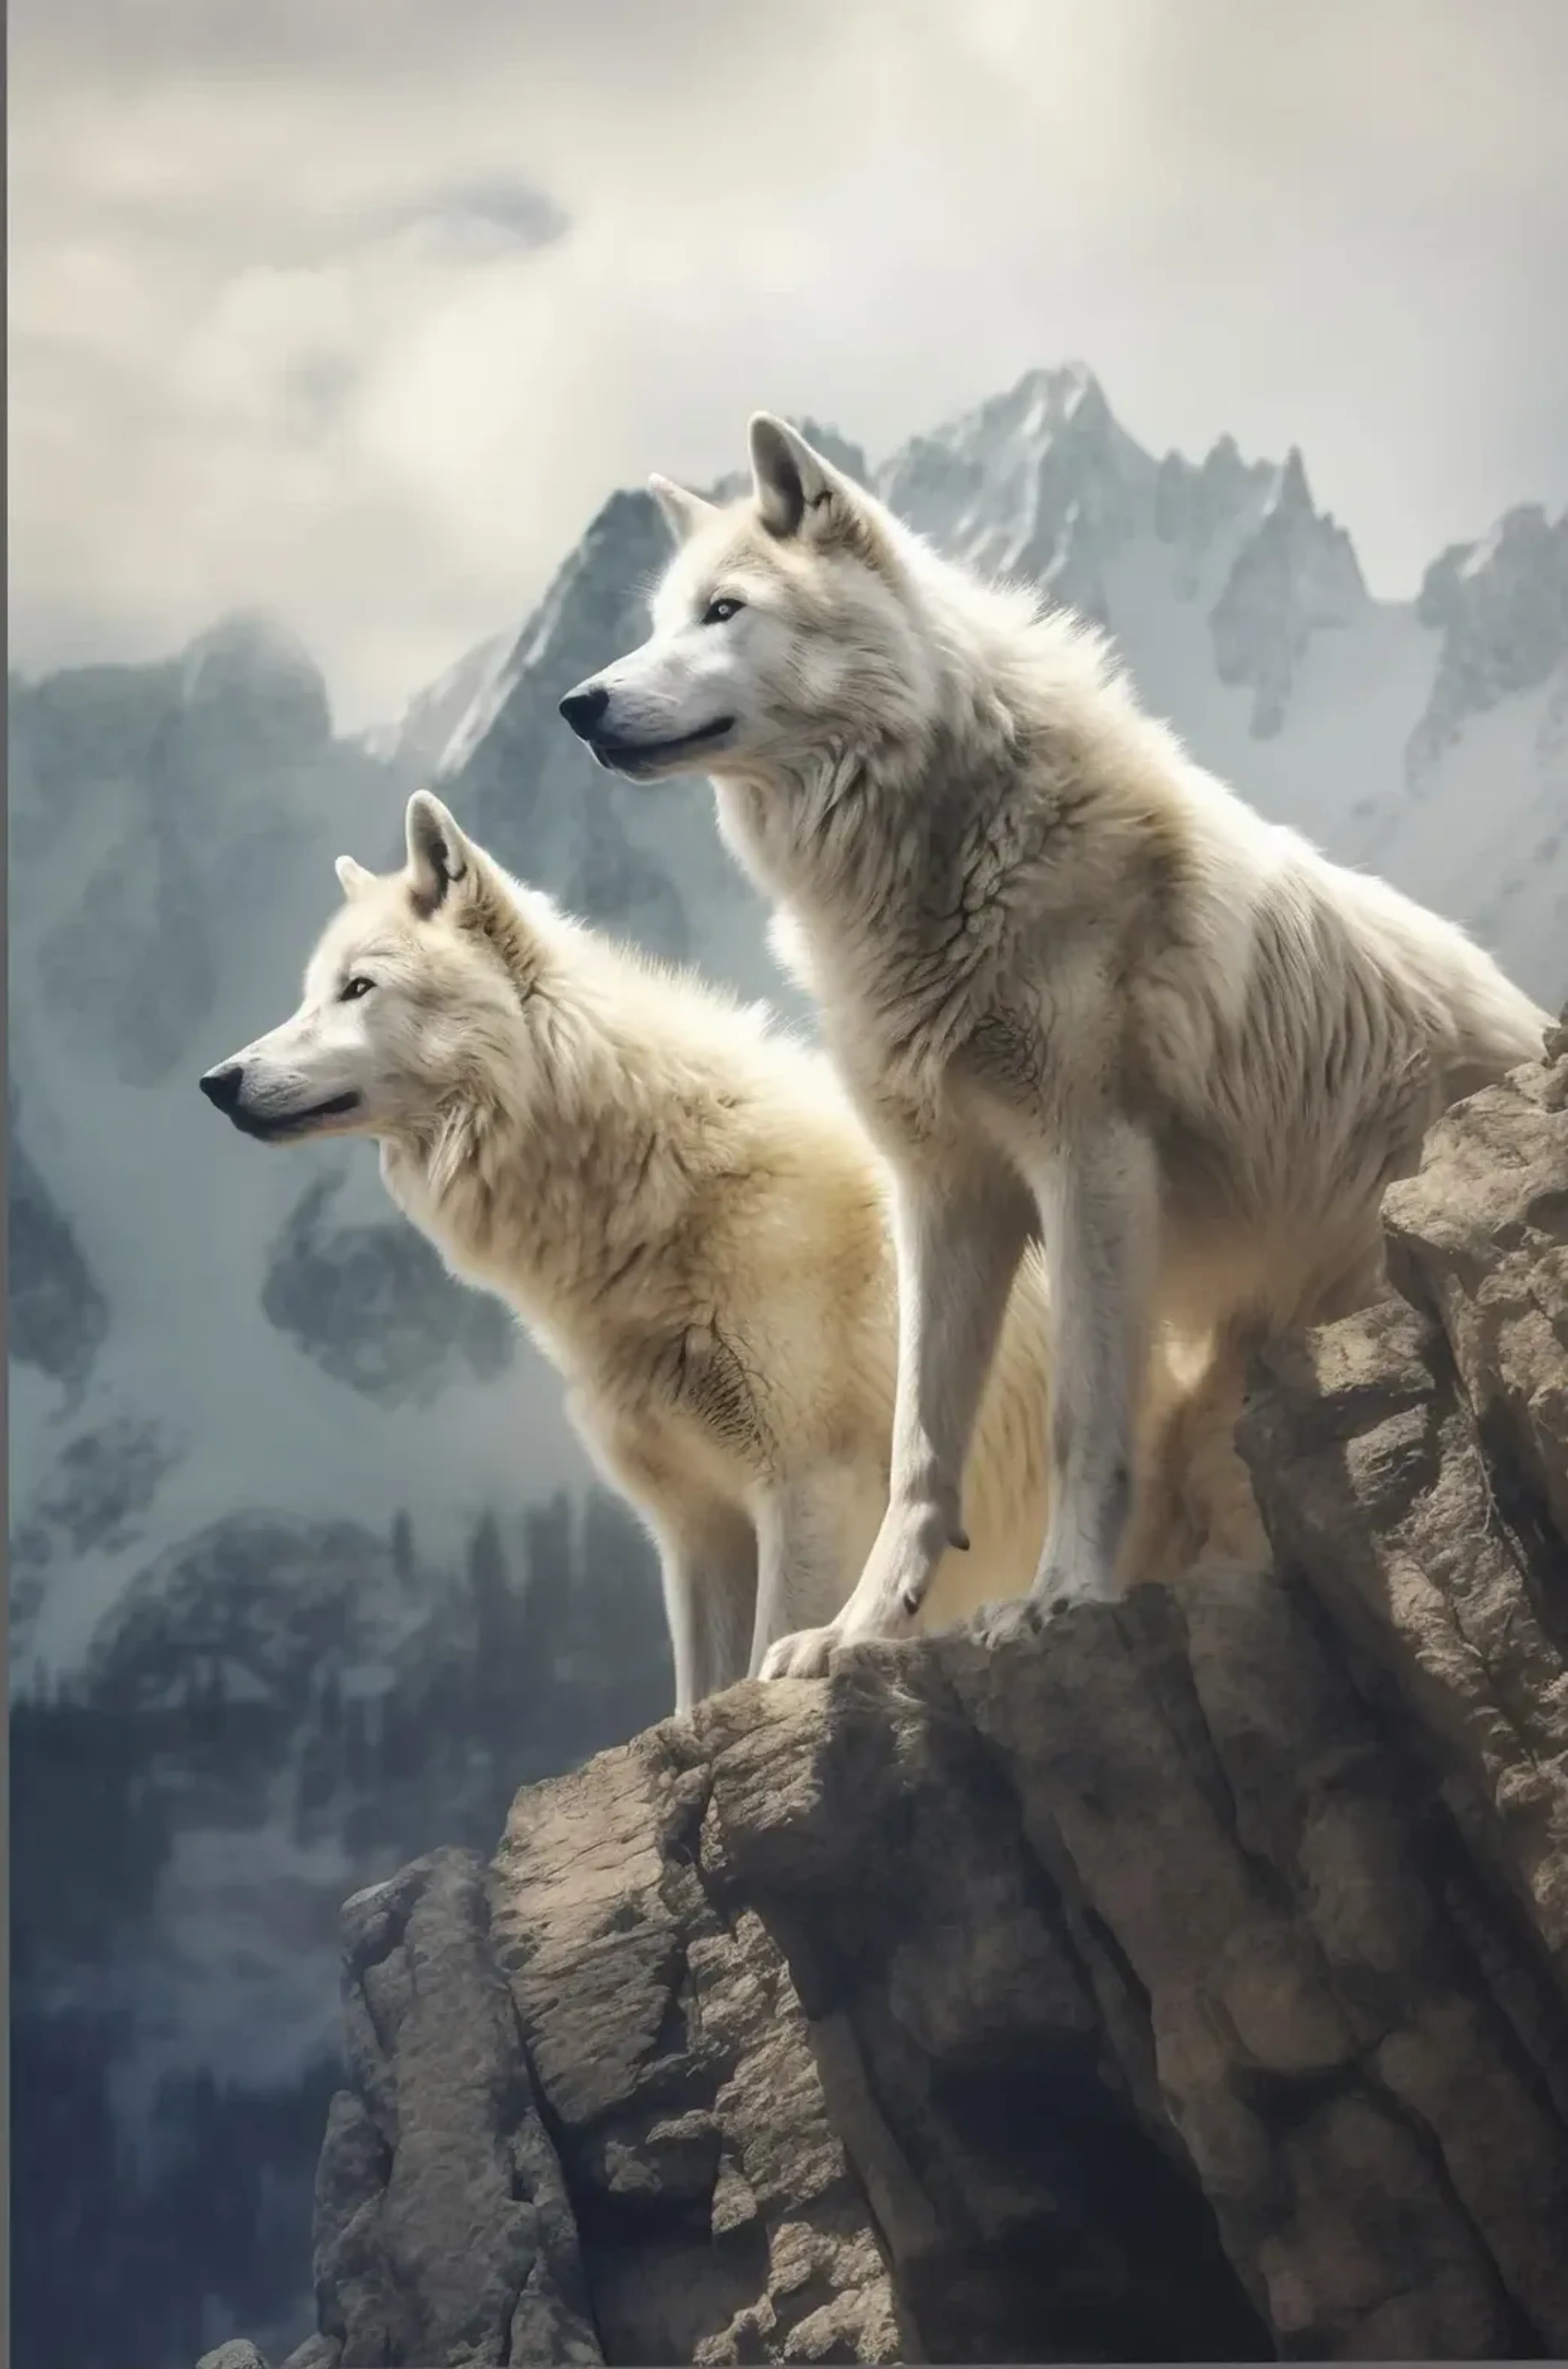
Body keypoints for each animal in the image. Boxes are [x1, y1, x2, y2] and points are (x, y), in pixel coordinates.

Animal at [200, 792, 1262, 1706]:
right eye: (311, 994)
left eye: (358, 988)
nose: (218, 1080)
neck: (657, 1198)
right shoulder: (694, 1531)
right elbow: (692, 1702)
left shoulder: (804, 1492)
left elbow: (760, 1661)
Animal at [558, 414, 1553, 1669]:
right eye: (656, 621)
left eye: (723, 611)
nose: (577, 704)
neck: (936, 850)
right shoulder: (944, 1198)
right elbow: (919, 1450)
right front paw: (853, 1633)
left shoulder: (1092, 1160)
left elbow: (1083, 1415)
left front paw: (1065, 1592)